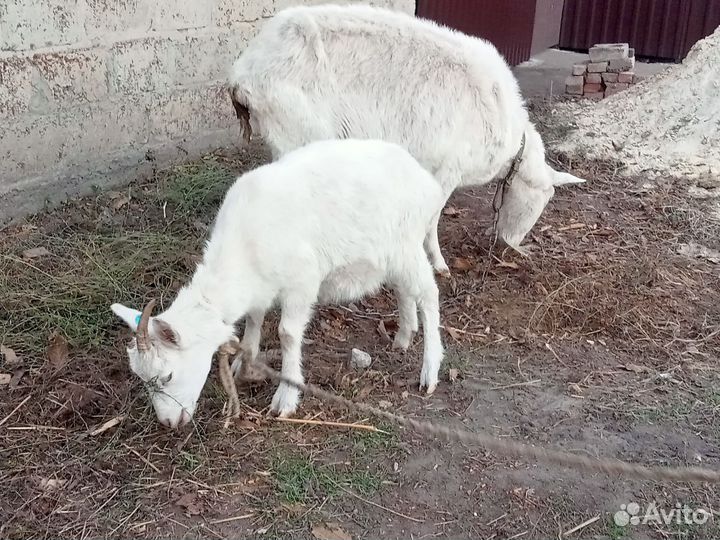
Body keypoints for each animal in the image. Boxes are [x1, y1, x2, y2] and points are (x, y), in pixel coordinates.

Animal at [111, 138, 445, 428]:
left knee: (429, 293)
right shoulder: (260, 288)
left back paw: (429, 371)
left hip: (406, 243)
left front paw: (286, 398)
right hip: (395, 254)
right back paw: (404, 335)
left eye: (167, 376)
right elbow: (253, 321)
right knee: (404, 290)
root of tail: (426, 181)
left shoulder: (302, 280)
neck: (243, 249)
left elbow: (287, 334)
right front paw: (244, 363)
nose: (169, 422)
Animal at [228, 3, 585, 276]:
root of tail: (242, 77)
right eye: (540, 200)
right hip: (297, 133)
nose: (510, 246)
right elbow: (431, 217)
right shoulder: (446, 168)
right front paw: (438, 264)